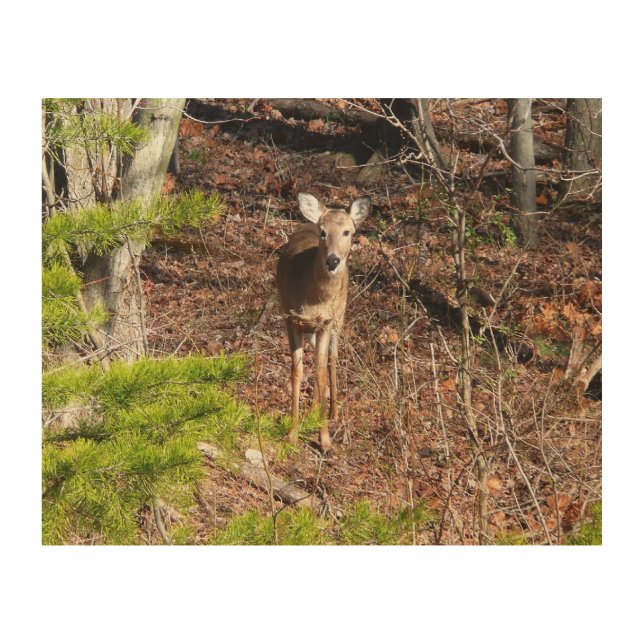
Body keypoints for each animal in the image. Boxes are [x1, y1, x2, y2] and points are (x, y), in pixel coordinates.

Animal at [276, 192, 371, 452]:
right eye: (323, 232)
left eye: (348, 232)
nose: (333, 260)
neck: (315, 299)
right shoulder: (290, 317)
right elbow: (297, 371)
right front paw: (292, 433)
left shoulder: (327, 322)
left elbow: (319, 374)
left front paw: (325, 440)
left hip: (340, 317)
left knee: (332, 359)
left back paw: (332, 412)